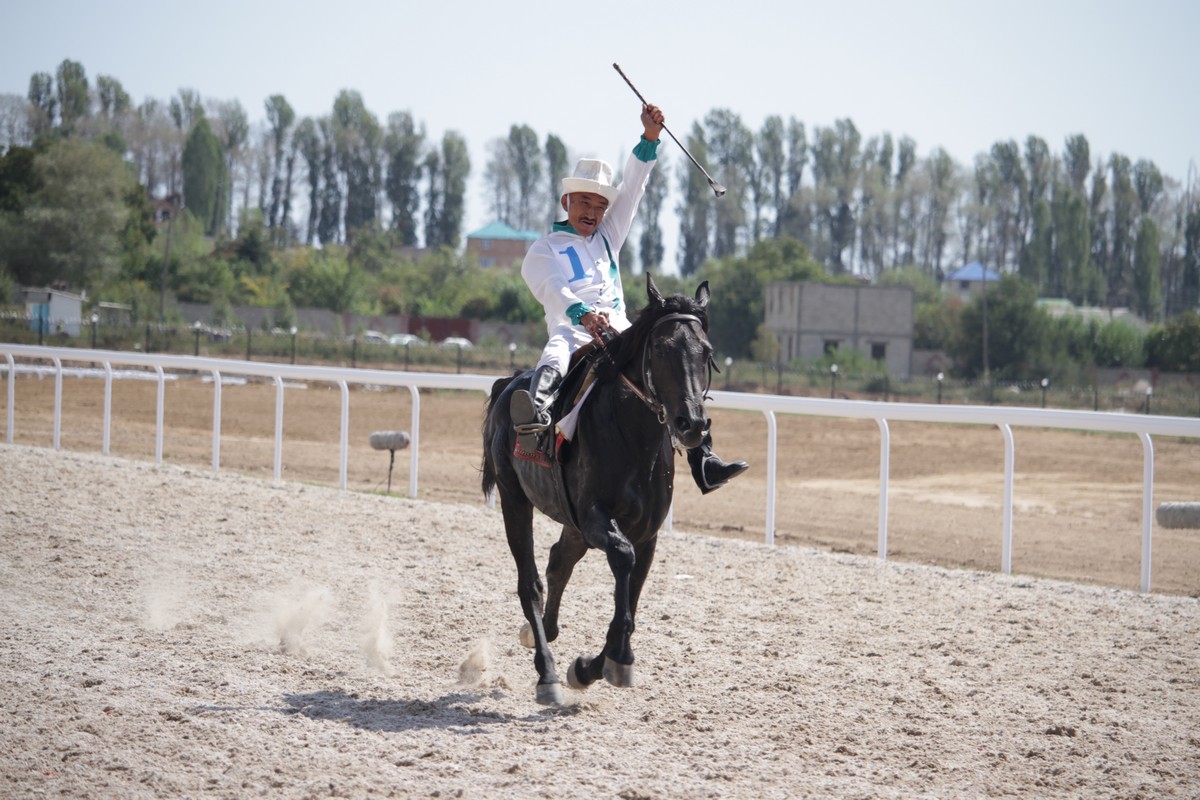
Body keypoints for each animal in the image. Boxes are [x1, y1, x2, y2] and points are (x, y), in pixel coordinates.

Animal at [482, 277, 715, 705]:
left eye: (705, 352)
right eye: (661, 348)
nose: (691, 424)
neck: (632, 438)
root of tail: (510, 384)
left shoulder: (646, 533)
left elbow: (631, 599)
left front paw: (592, 666)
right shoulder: (595, 518)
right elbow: (622, 561)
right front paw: (618, 658)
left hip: (570, 522)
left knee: (558, 561)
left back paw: (547, 636)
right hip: (514, 498)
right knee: (530, 583)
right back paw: (547, 673)